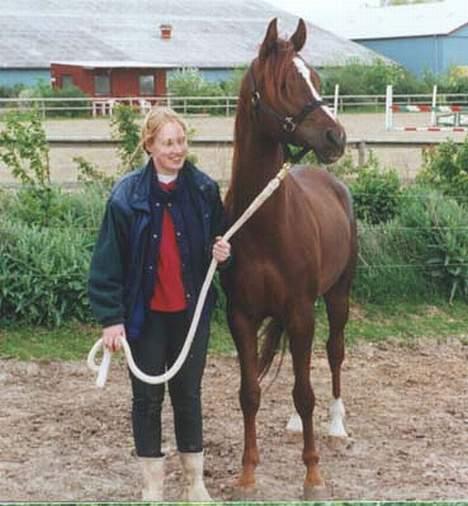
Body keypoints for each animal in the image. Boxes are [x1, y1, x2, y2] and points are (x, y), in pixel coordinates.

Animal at [221, 18, 356, 498]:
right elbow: (249, 393)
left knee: (333, 354)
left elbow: (306, 391)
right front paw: (246, 474)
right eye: (283, 84)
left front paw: (313, 475)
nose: (336, 137)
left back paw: (336, 425)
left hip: (336, 297)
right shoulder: (241, 316)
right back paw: (298, 424)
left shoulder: (300, 311)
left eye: (315, 78)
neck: (264, 223)